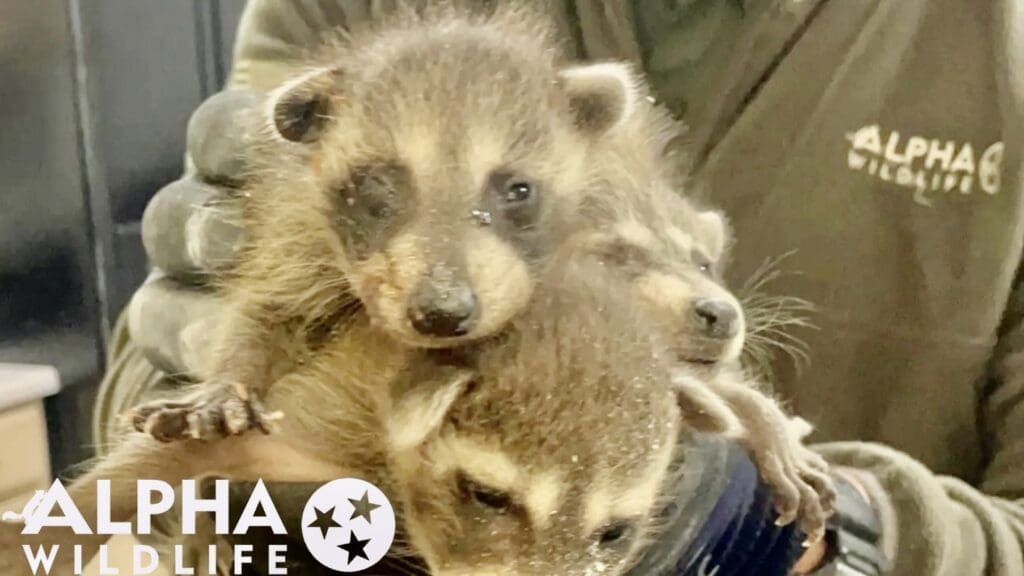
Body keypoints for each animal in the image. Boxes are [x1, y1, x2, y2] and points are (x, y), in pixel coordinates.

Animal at [128, 4, 650, 442]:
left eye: (518, 190)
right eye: (377, 187)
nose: (442, 312)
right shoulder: (297, 231)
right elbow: (265, 309)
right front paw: (227, 381)